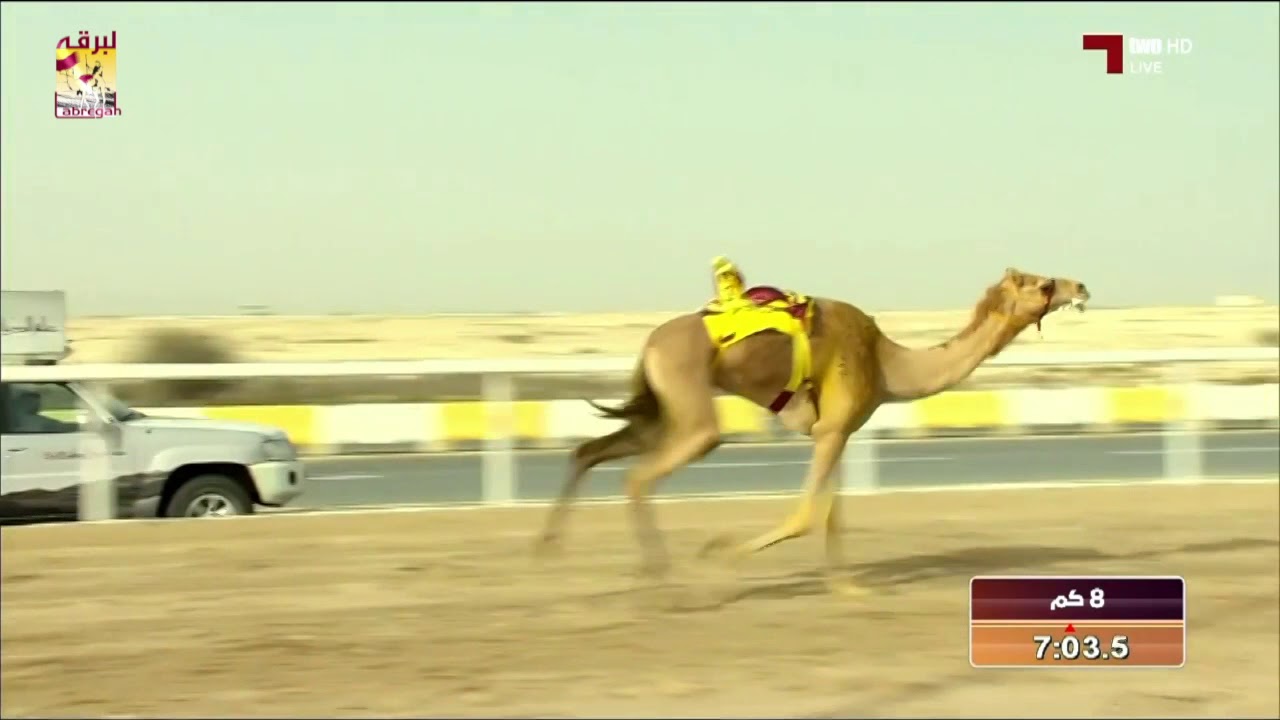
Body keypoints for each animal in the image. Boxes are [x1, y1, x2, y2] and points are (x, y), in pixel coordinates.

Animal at [535, 265, 1090, 594]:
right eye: (1042, 284)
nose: (1080, 286)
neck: (888, 364)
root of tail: (648, 345)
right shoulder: (831, 431)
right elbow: (807, 515)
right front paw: (718, 553)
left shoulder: (835, 430)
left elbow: (832, 515)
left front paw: (846, 587)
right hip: (691, 406)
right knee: (640, 475)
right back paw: (662, 578)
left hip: (662, 407)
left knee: (589, 451)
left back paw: (550, 550)